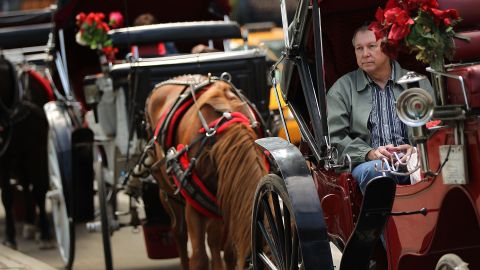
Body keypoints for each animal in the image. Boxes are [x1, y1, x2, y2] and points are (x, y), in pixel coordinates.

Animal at [144, 75, 268, 268]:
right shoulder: (194, 207)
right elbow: (199, 257)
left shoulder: (226, 200)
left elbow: (230, 253)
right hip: (168, 193)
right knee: (179, 233)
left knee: (214, 240)